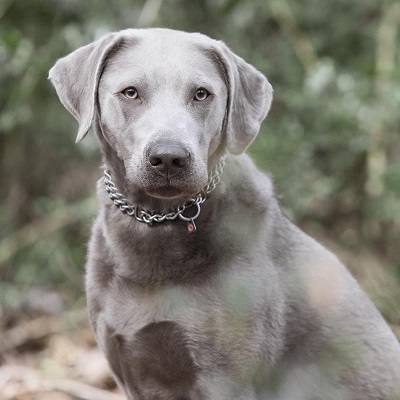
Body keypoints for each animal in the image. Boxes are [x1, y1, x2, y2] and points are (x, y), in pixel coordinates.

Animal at [49, 28, 400, 400]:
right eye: (130, 92)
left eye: (201, 93)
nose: (170, 157)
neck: (157, 224)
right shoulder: (131, 369)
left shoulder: (225, 378)